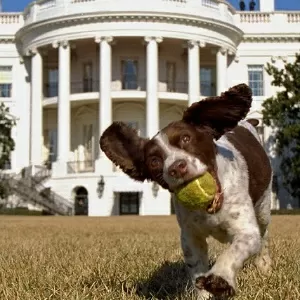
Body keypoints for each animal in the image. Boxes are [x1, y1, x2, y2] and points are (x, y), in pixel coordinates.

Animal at [99, 83, 274, 298]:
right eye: (154, 161)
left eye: (186, 138)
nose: (177, 167)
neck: (211, 208)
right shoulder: (190, 238)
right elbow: (197, 269)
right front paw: (204, 293)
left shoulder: (245, 229)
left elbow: (235, 250)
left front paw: (220, 279)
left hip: (263, 207)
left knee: (264, 236)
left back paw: (264, 265)